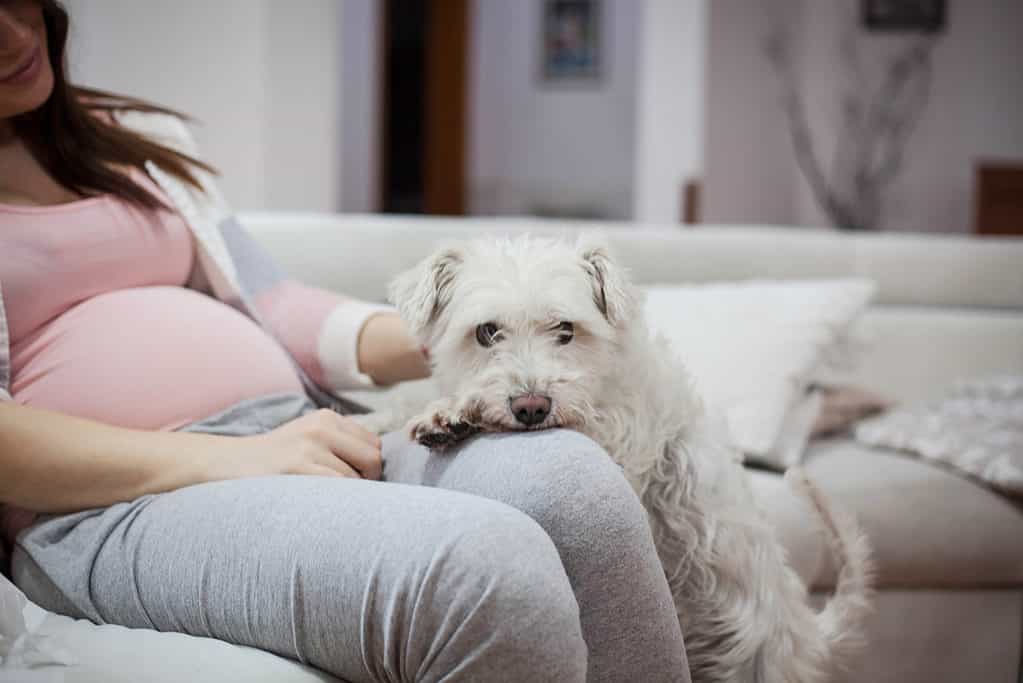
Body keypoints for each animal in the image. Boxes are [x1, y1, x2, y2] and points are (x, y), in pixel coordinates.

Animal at [360, 236, 871, 683]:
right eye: (487, 332)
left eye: (565, 330)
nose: (531, 407)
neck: (601, 382)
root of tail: (805, 631)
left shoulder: (619, 445)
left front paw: (455, 412)